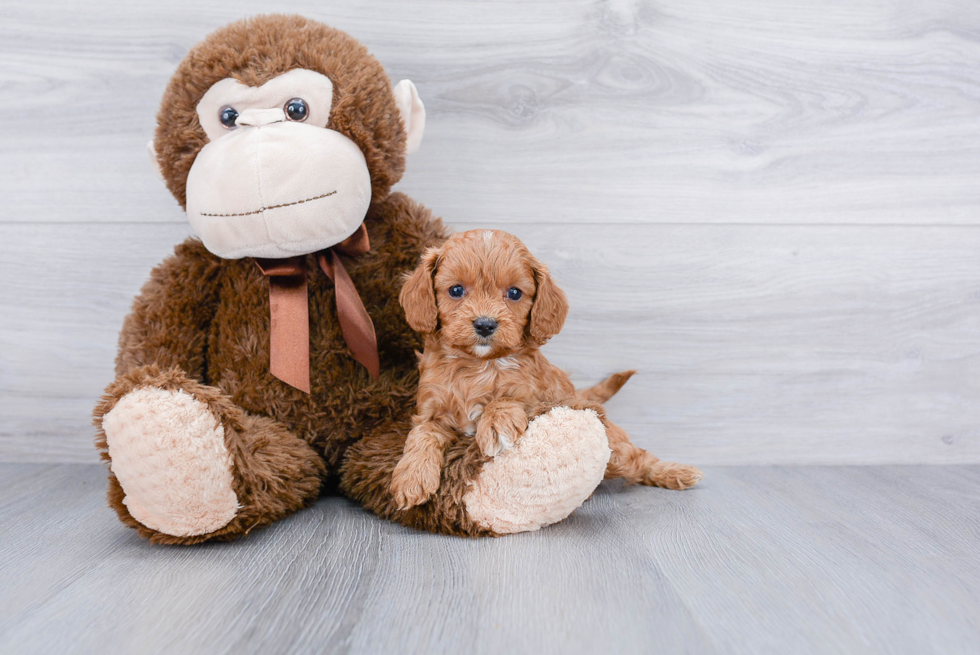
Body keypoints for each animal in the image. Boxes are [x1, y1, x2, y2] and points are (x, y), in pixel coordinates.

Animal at [386, 228, 700, 510]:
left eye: (514, 293)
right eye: (456, 290)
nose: (485, 324)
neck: (477, 364)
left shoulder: (539, 398)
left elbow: (507, 398)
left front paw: (495, 423)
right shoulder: (431, 412)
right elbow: (422, 434)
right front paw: (411, 478)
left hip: (615, 447)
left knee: (639, 458)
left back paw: (675, 472)